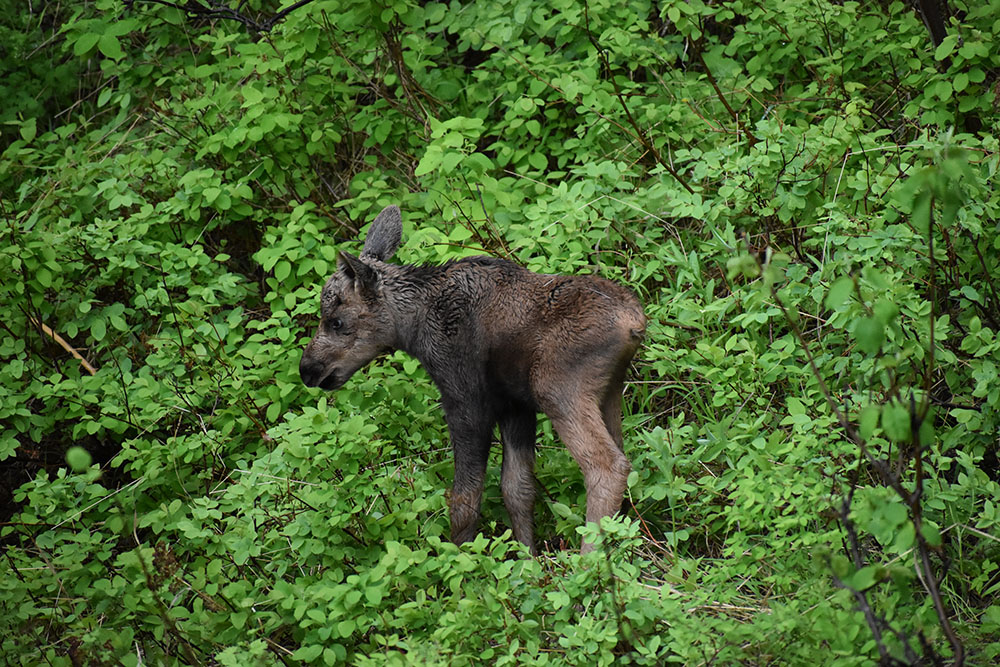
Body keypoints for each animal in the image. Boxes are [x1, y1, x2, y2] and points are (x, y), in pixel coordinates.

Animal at [300, 206, 648, 556]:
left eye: (336, 321)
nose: (307, 369)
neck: (414, 327)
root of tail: (633, 323)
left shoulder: (465, 400)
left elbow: (464, 500)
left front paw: (461, 559)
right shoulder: (514, 406)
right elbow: (517, 489)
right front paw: (528, 559)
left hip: (558, 389)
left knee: (607, 466)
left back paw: (588, 560)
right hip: (609, 392)